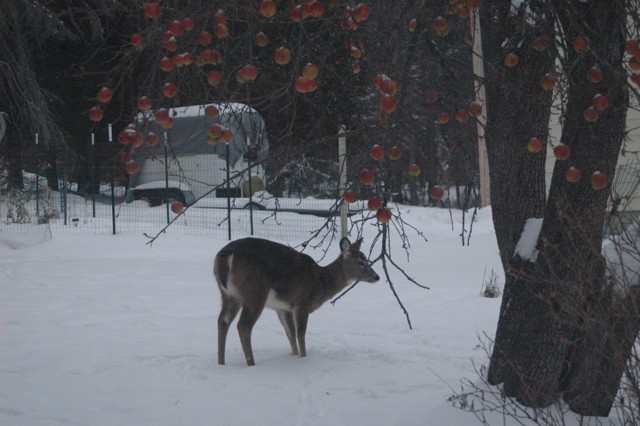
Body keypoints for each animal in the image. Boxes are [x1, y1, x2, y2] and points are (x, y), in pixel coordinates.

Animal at [214, 237, 380, 366]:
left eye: (367, 259)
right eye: (360, 262)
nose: (376, 277)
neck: (321, 282)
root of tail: (226, 255)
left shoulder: (283, 307)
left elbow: (290, 333)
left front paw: (293, 356)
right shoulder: (302, 303)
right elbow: (300, 334)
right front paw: (303, 358)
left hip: (229, 295)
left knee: (223, 320)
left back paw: (221, 362)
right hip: (254, 292)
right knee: (243, 326)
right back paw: (251, 363)